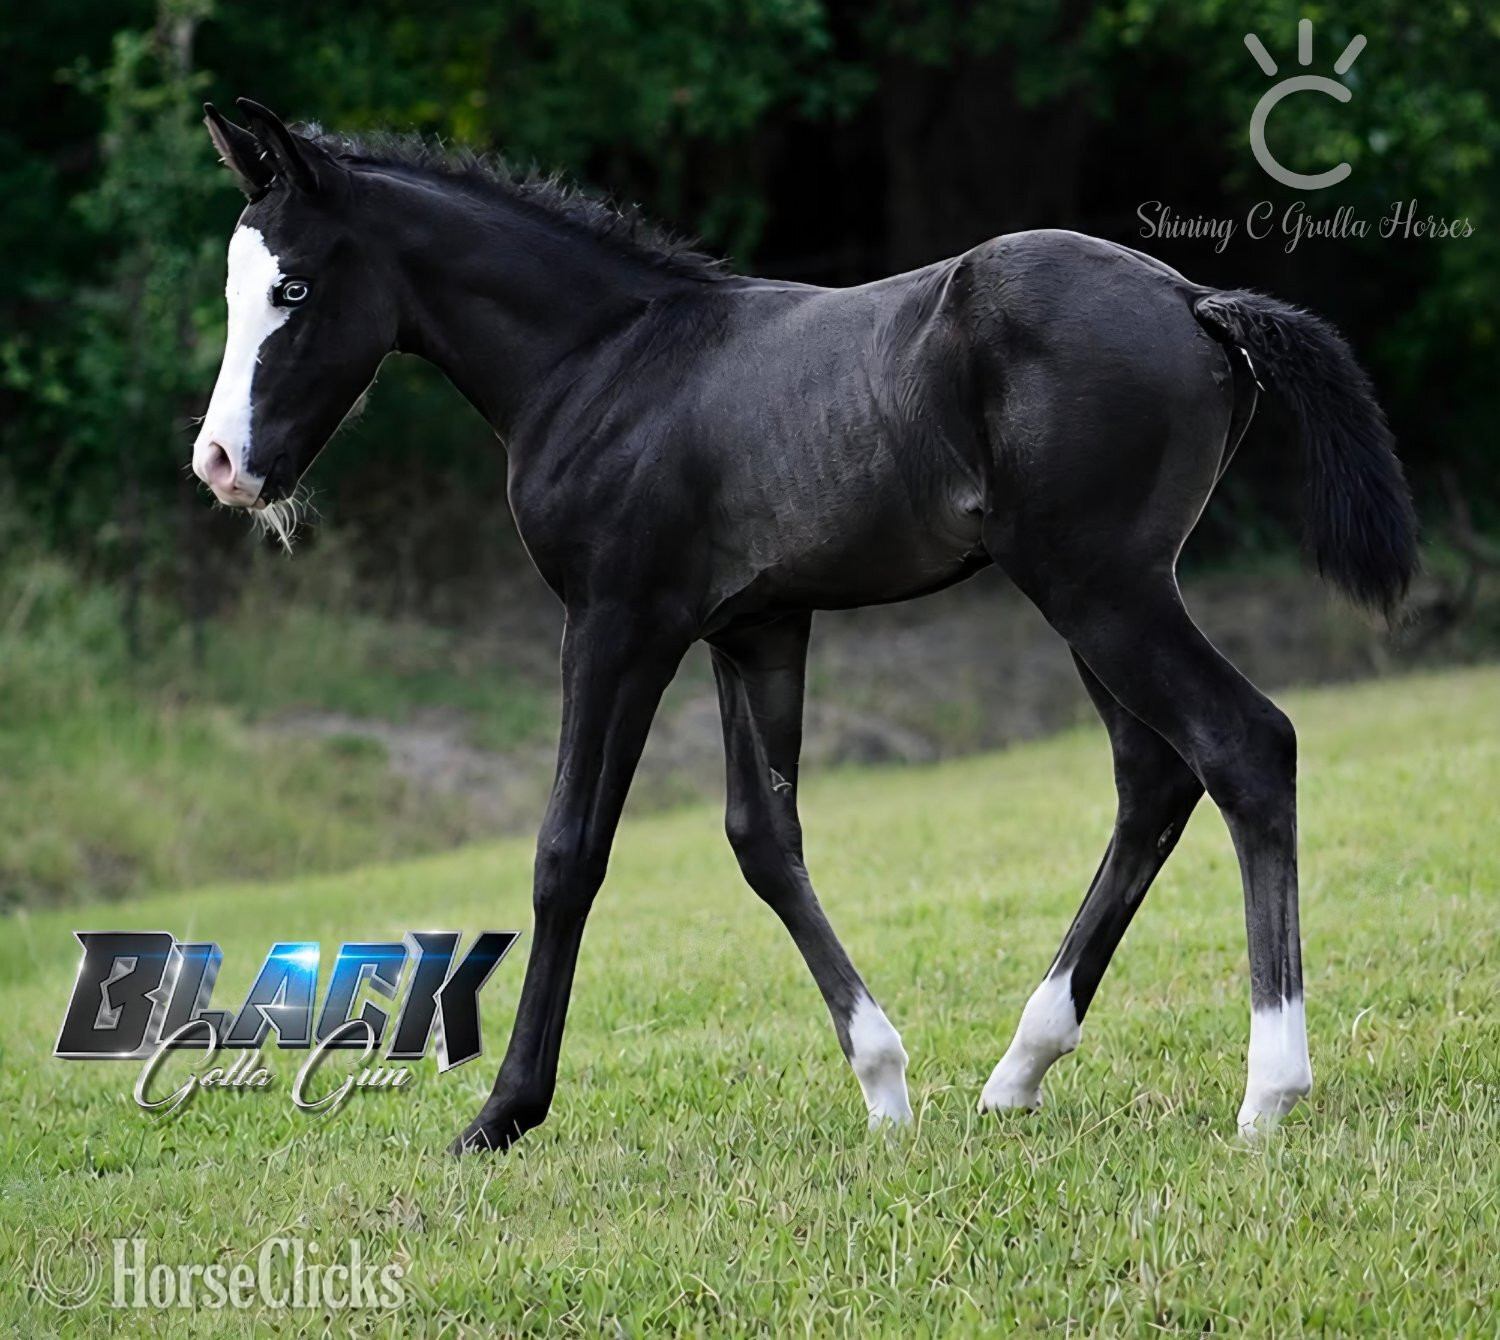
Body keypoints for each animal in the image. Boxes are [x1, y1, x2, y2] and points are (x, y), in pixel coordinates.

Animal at [192, 99, 1417, 1153]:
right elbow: (762, 837)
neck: (604, 363)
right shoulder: (760, 628)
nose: (220, 464)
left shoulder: (618, 621)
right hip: (1098, 594)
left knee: (1242, 744)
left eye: (294, 287)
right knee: (1153, 777)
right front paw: (884, 1085)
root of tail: (1194, 298)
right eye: (236, 289)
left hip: (1099, 584)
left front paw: (502, 1112)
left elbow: (567, 850)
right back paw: (1017, 1070)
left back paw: (1269, 1089)